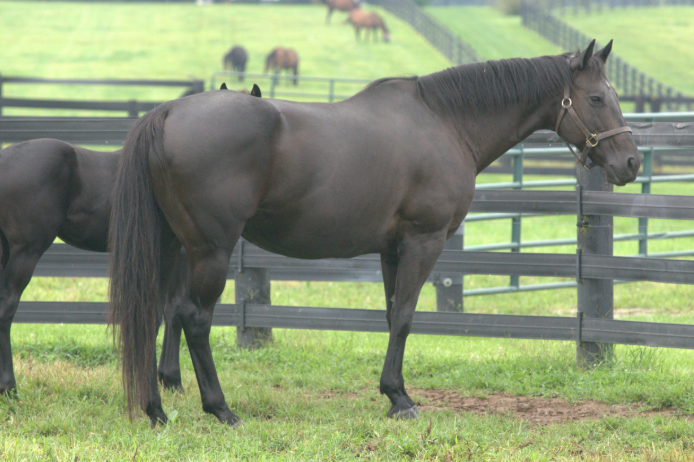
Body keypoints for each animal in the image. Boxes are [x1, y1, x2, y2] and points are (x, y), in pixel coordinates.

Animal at [0, 87, 263, 402]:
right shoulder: (185, 254)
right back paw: (10, 387)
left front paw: (166, 378)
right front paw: (172, 379)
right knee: (7, 306)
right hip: (26, 251)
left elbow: (167, 310)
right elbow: (174, 309)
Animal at [108, 40, 639, 427]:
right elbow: (404, 316)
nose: (630, 162)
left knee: (154, 313)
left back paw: (156, 409)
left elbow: (389, 315)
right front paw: (400, 399)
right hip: (212, 251)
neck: (444, 122)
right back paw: (221, 409)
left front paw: (392, 393)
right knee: (194, 319)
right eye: (596, 98)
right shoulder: (424, 242)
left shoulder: (392, 250)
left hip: (174, 246)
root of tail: (168, 114)